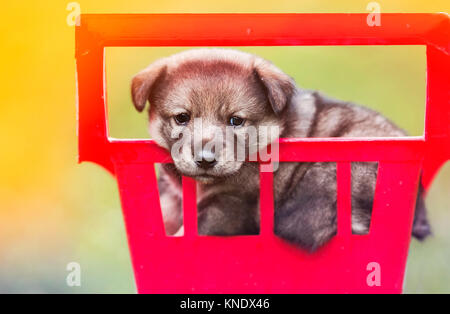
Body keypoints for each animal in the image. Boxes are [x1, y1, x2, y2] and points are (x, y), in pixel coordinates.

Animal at [131, 48, 432, 250]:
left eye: (236, 120)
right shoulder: (174, 195)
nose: (206, 160)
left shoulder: (233, 204)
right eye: (181, 118)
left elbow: (195, 227)